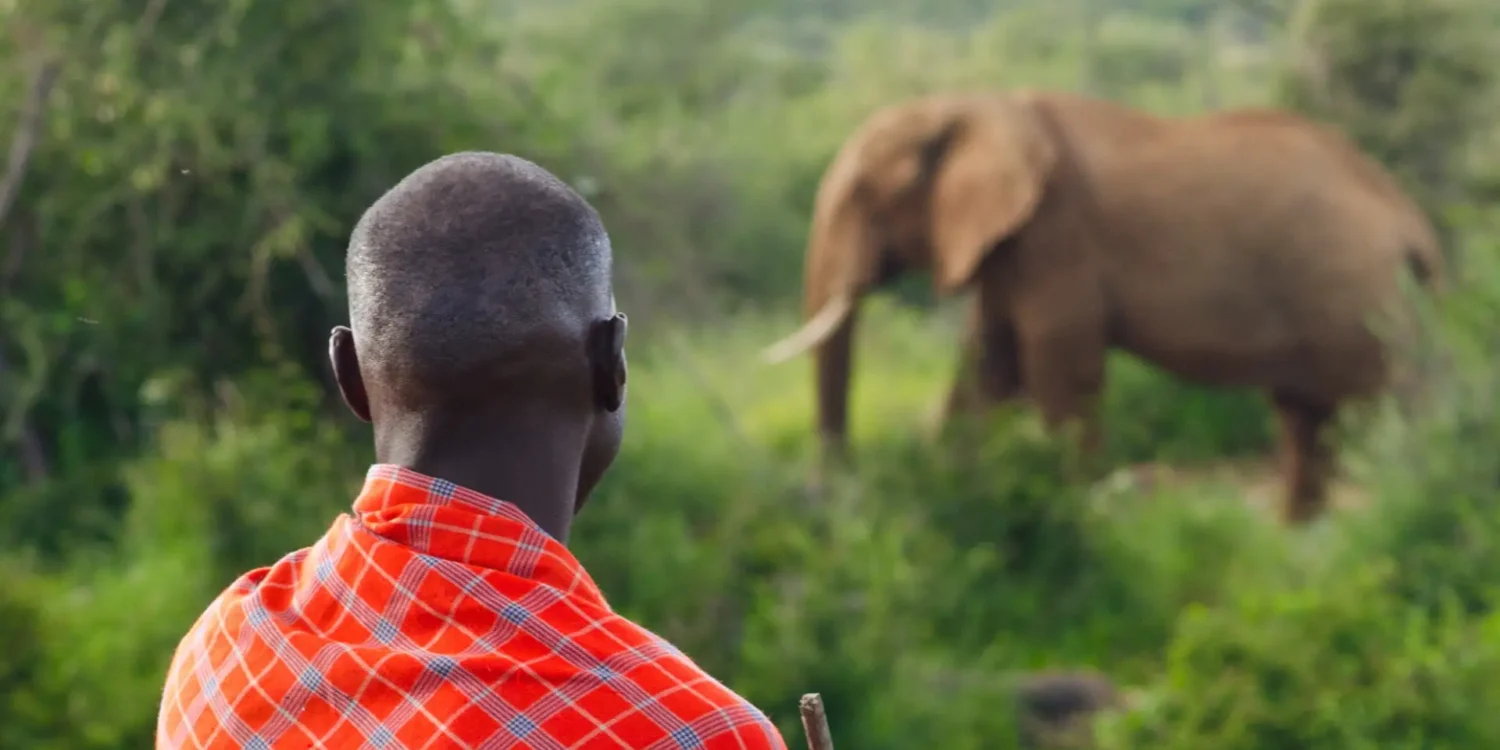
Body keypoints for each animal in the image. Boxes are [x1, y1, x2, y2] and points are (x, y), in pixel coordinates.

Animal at [761, 89, 1445, 525]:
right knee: (1307, 419)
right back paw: (1303, 538)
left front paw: (1075, 504)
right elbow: (988, 367)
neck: (976, 103)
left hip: (1359, 296)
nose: (829, 494)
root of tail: (1410, 217)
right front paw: (954, 490)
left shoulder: (1056, 232)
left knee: (1379, 411)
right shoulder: (1010, 244)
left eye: (865, 195)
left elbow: (1059, 368)